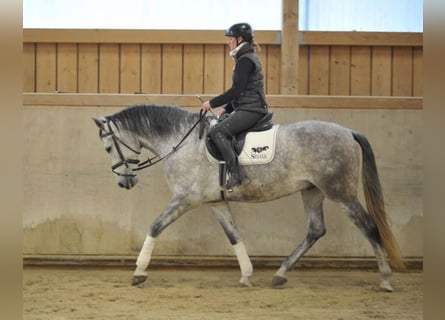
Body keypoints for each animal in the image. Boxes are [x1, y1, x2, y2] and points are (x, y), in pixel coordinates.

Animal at [93, 104, 406, 292]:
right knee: (316, 230)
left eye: (108, 147)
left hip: (339, 192)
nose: (124, 181)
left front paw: (139, 271)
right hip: (312, 191)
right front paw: (246, 274)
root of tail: (348, 132)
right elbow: (234, 236)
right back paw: (280, 273)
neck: (181, 141)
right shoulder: (216, 203)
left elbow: (155, 226)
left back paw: (385, 279)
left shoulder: (184, 199)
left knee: (369, 227)